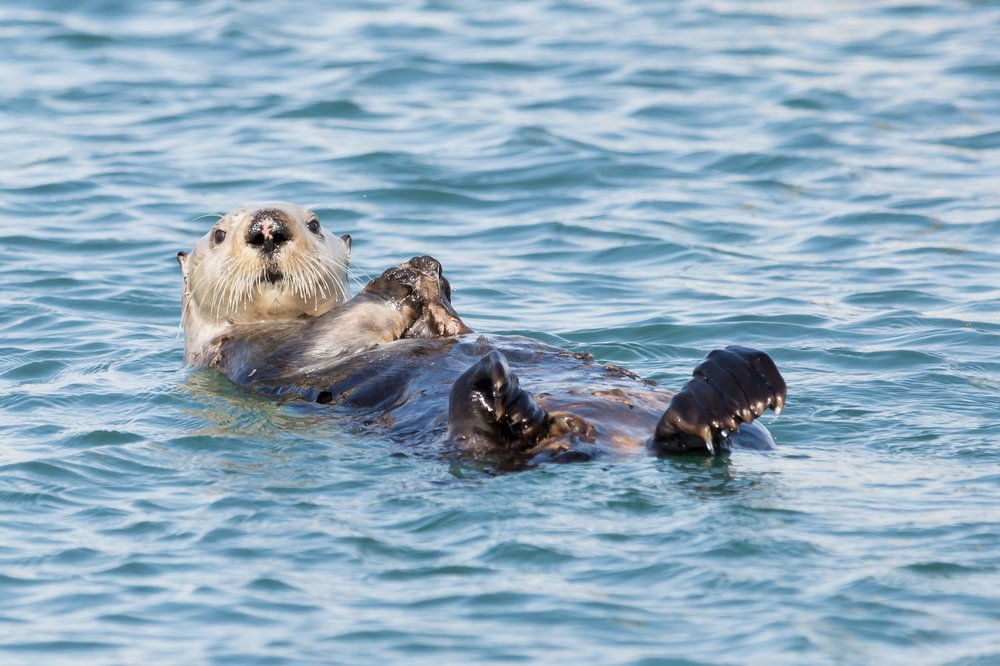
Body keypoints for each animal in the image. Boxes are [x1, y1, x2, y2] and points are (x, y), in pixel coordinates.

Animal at [180, 202, 788, 466]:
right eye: (219, 233)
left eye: (314, 223)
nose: (267, 227)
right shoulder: (257, 355)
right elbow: (331, 332)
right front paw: (404, 278)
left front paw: (431, 282)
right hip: (474, 438)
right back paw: (498, 387)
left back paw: (737, 379)